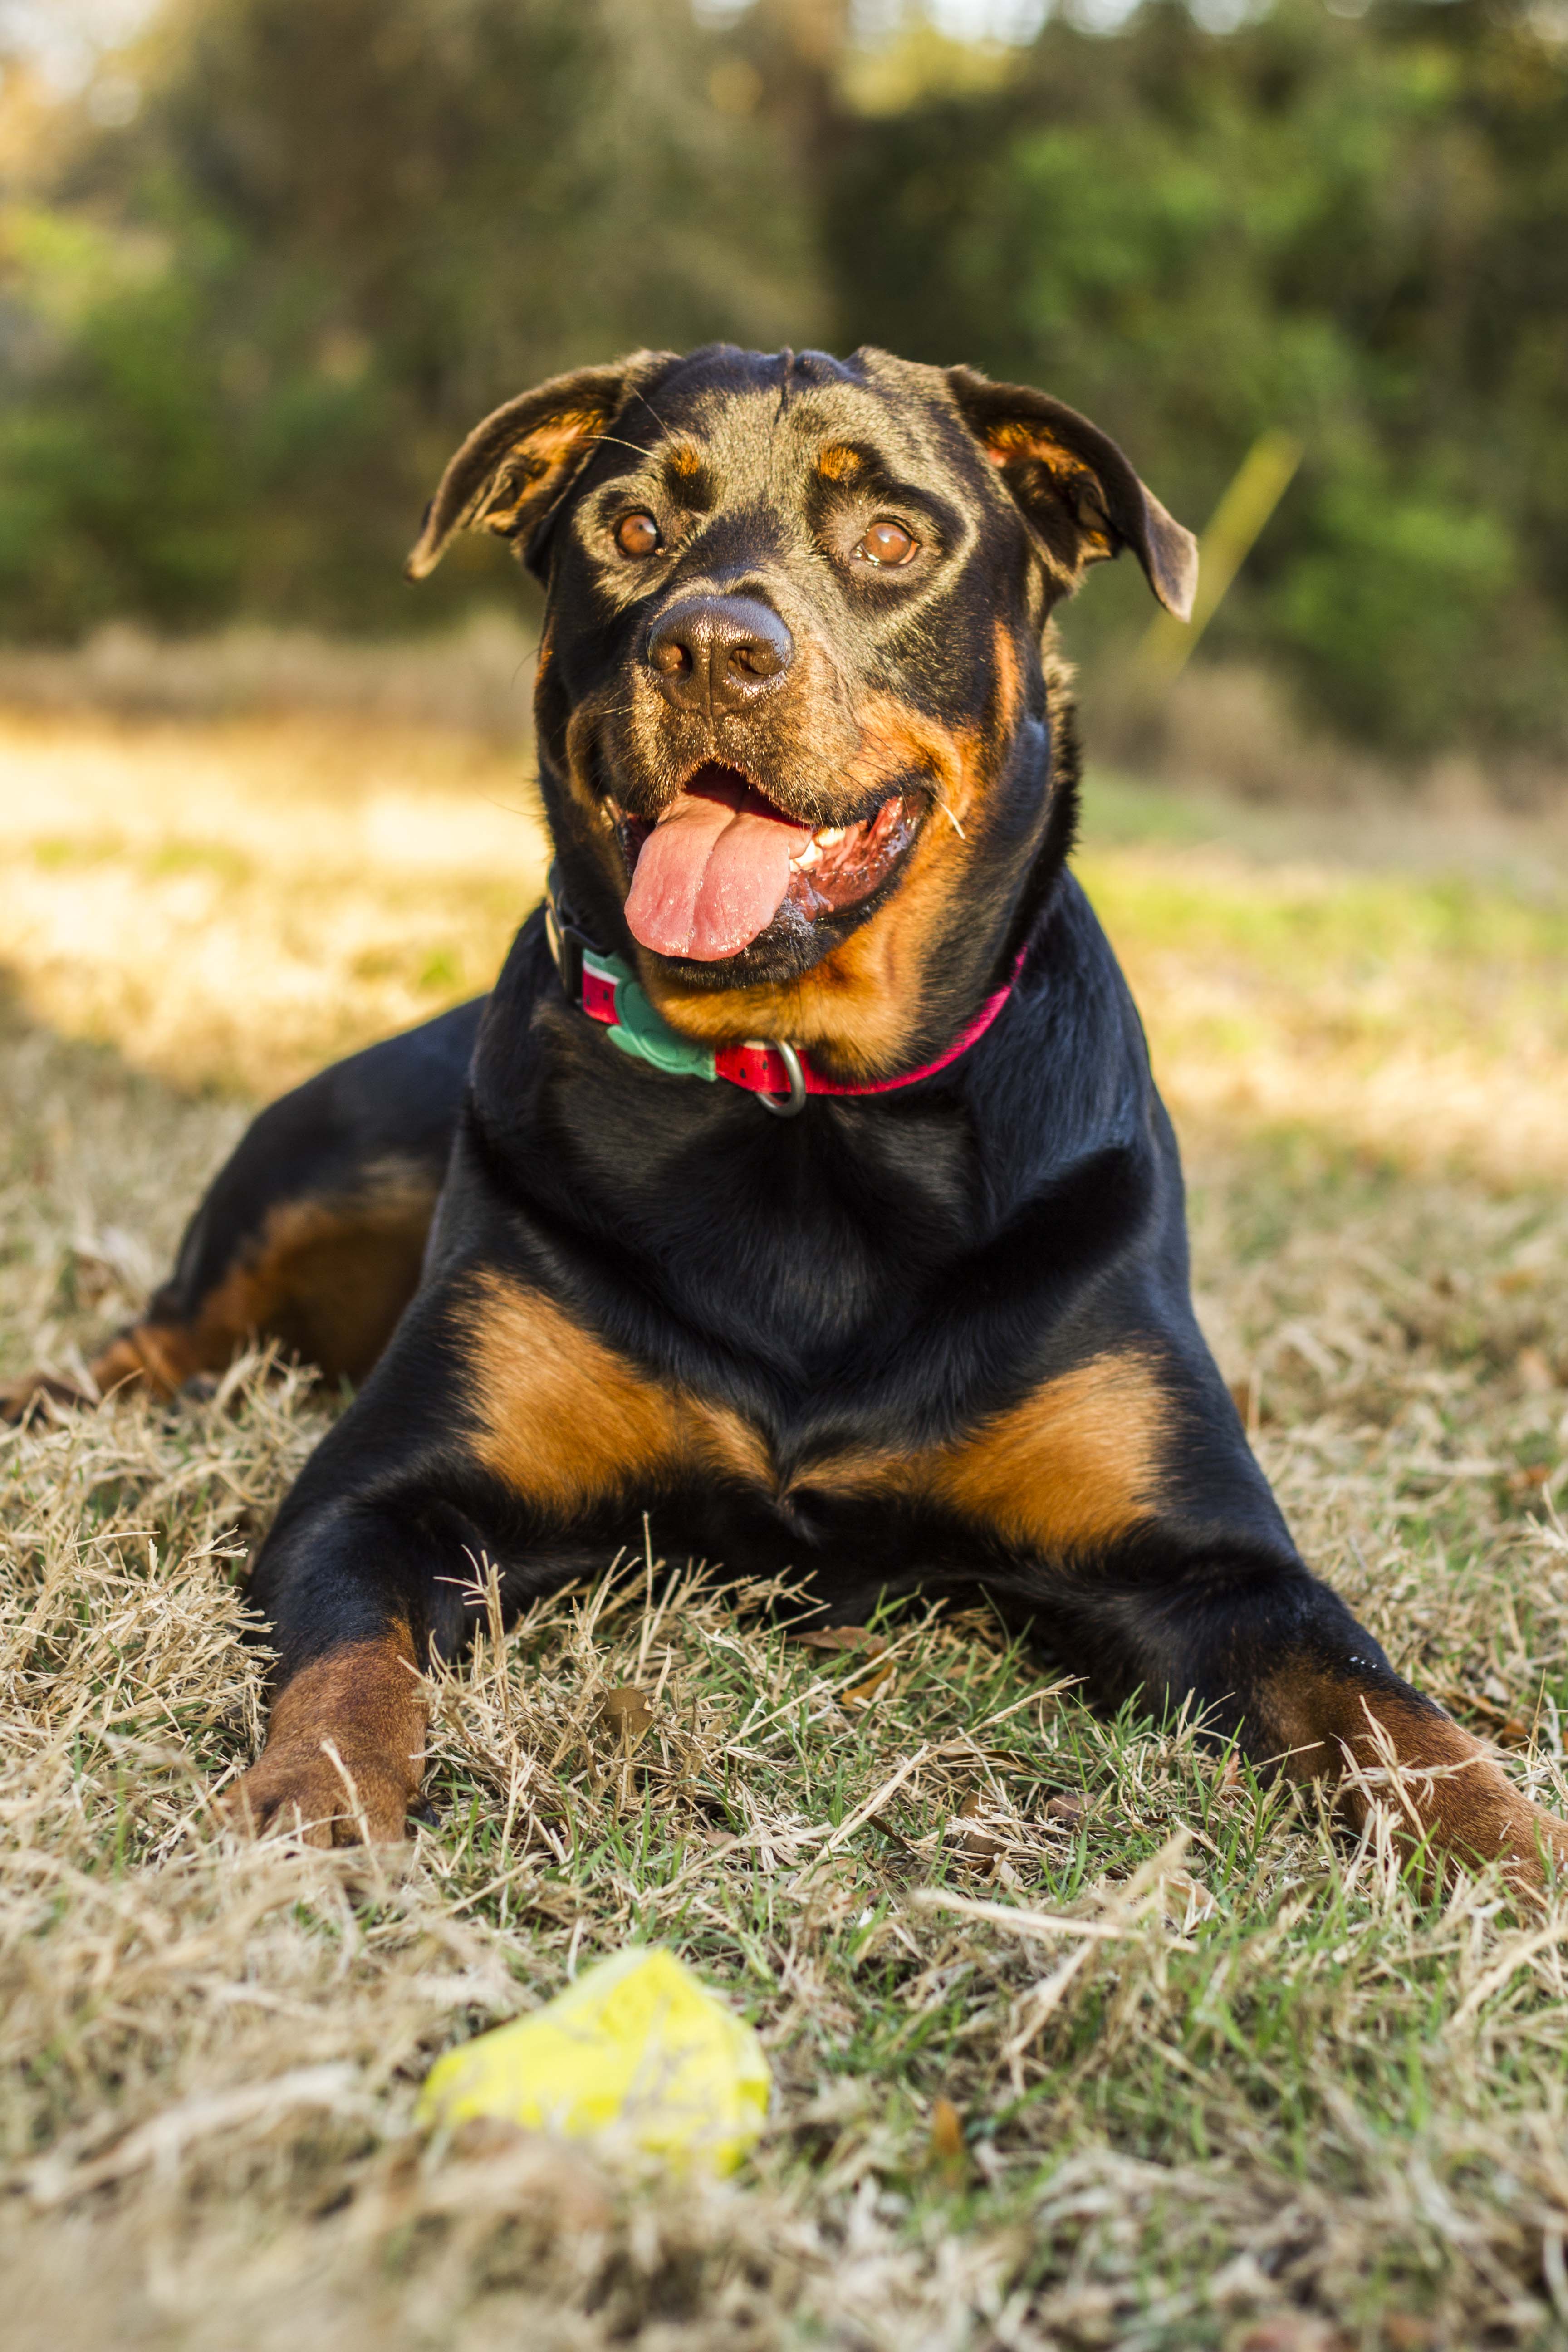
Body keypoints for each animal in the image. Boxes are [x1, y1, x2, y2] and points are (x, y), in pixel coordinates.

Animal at [15, 343, 1568, 1891]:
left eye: (889, 540)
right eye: (633, 528)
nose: (712, 647)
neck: (800, 1097)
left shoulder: (1214, 1568)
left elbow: (1389, 1711)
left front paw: (1516, 1853)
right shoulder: (382, 1497)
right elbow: (350, 1661)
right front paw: (320, 1806)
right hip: (334, 1160)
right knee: (172, 1329)